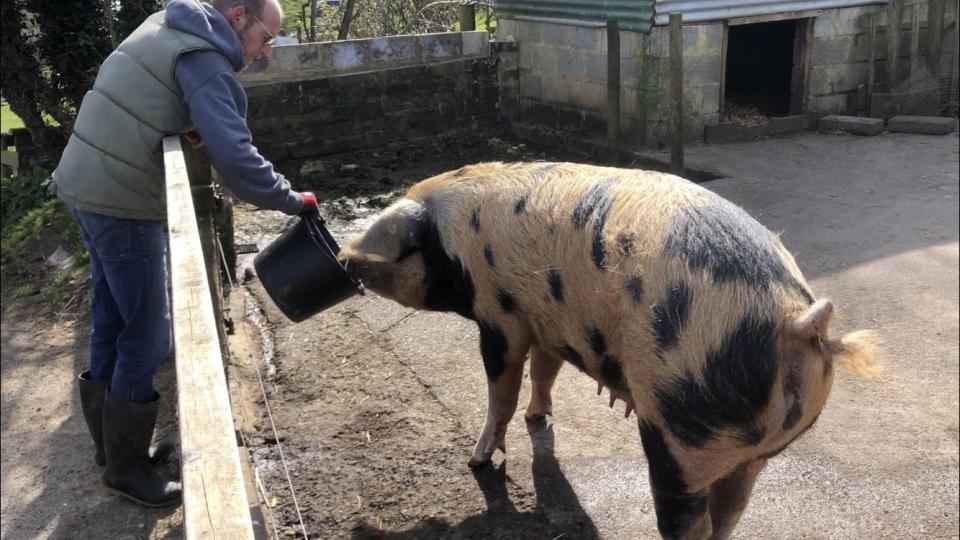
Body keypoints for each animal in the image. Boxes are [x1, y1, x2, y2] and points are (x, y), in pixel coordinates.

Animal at [338, 161, 876, 540]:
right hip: (753, 448)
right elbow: (544, 372)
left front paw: (478, 461)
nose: (342, 257)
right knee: (732, 512)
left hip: (682, 428)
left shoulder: (500, 313)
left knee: (690, 521)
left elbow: (501, 389)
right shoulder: (548, 322)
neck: (449, 241)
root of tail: (794, 322)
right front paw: (538, 417)